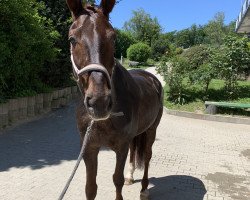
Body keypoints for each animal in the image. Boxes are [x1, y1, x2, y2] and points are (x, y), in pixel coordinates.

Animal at [66, 0, 163, 199]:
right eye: (72, 39)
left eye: (113, 38)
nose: (99, 102)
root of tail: (152, 78)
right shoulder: (89, 147)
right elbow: (90, 187)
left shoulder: (121, 146)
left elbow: (116, 179)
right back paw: (130, 176)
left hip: (151, 130)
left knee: (147, 156)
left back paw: (144, 189)